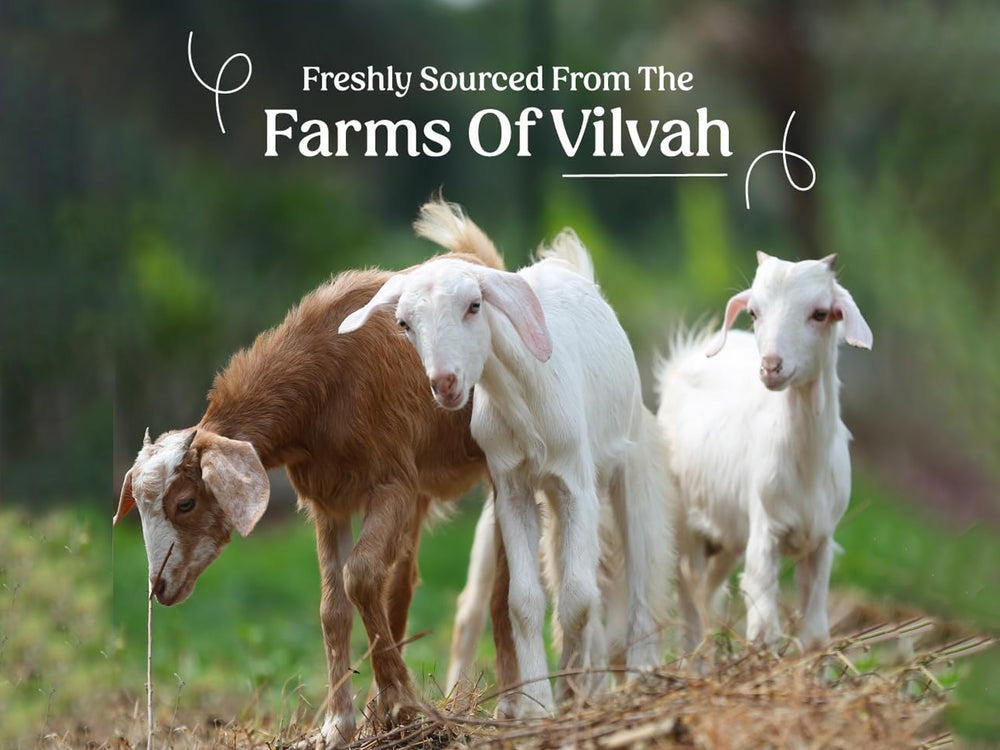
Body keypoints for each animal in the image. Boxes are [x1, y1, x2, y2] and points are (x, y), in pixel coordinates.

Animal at [114, 228, 504, 746]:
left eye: (185, 502)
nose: (158, 587)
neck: (327, 376)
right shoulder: (329, 500)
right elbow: (332, 608)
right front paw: (340, 726)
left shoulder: (391, 483)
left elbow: (360, 575)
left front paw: (401, 704)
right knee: (404, 582)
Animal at [340, 201, 672, 718]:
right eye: (404, 324)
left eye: (474, 305)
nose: (445, 383)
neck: (524, 400)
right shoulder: (512, 487)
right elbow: (523, 601)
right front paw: (537, 703)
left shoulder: (576, 484)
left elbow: (578, 596)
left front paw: (571, 690)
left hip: (628, 460)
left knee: (638, 566)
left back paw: (634, 675)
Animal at [656, 252, 872, 653]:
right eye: (754, 312)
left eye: (820, 313)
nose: (771, 366)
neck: (807, 466)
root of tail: (684, 358)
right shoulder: (764, 532)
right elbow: (763, 628)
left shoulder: (821, 540)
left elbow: (816, 633)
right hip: (684, 522)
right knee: (690, 599)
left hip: (726, 536)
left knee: (707, 592)